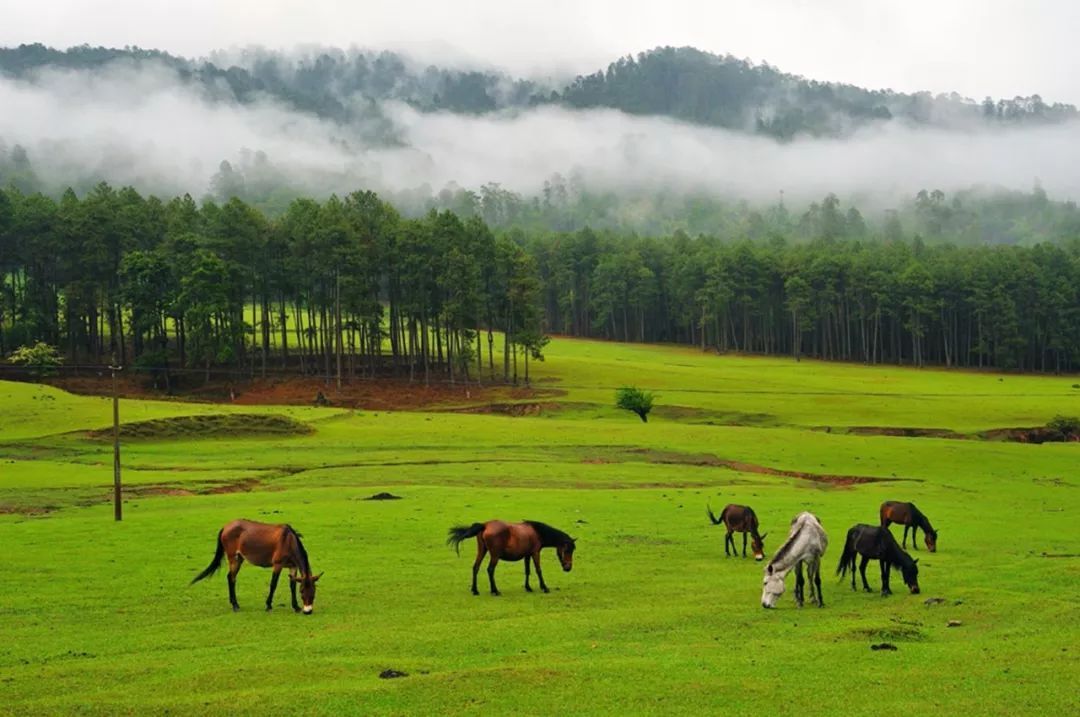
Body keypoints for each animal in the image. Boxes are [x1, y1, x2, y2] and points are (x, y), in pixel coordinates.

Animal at [190, 518, 319, 613]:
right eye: (302, 592)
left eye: (313, 592)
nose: (308, 611)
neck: (288, 541)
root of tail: (226, 526)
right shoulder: (277, 565)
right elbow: (273, 584)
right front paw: (268, 605)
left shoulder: (293, 566)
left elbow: (292, 586)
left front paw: (295, 606)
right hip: (233, 558)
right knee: (231, 578)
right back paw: (235, 605)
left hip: (239, 558)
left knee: (231, 577)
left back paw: (234, 603)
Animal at [447, 518, 578, 596]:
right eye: (567, 550)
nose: (568, 567)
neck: (538, 533)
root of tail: (485, 525)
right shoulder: (535, 553)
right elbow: (538, 570)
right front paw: (544, 587)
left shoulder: (527, 555)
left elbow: (527, 571)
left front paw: (528, 587)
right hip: (495, 556)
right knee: (490, 570)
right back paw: (495, 590)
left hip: (482, 551)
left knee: (476, 567)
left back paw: (475, 590)